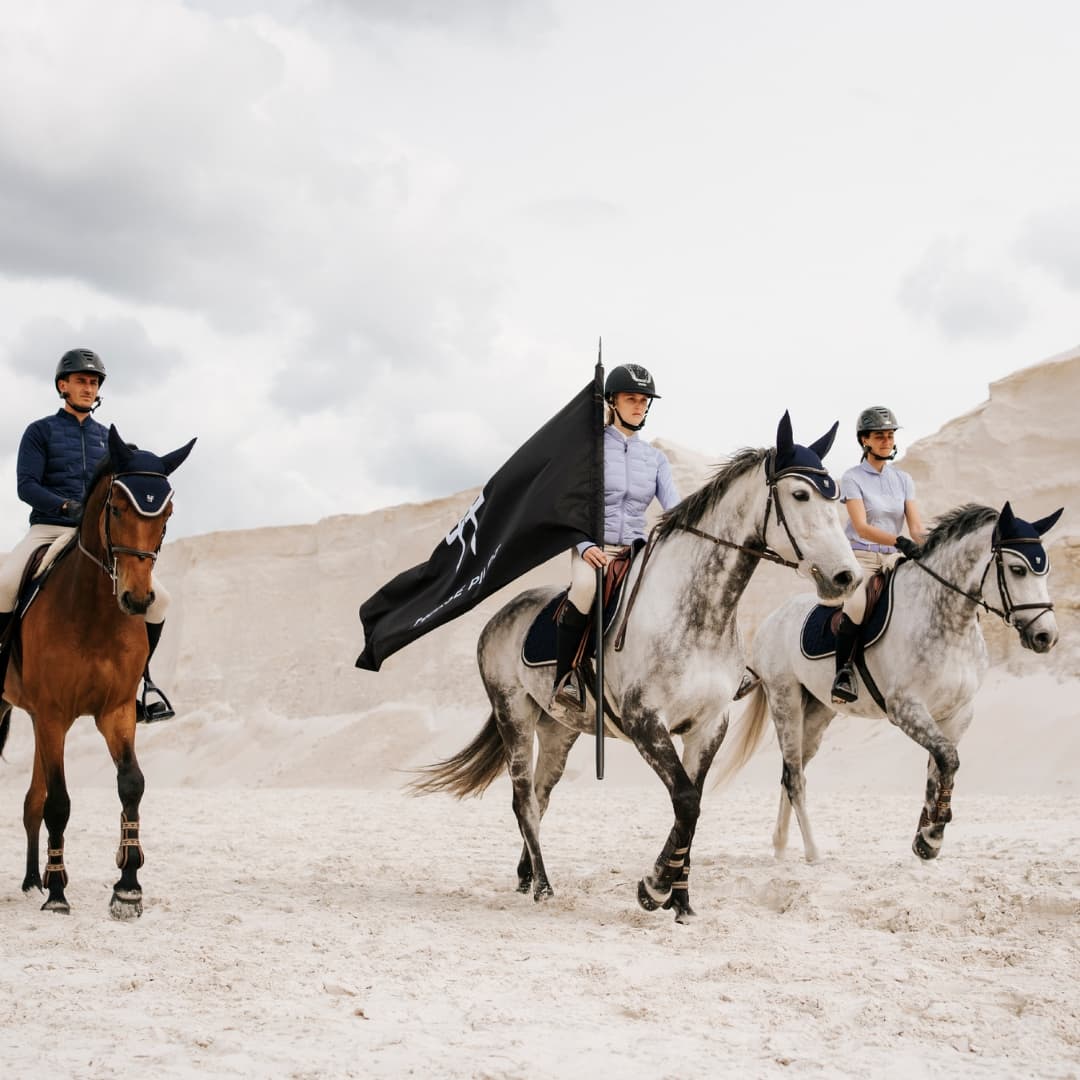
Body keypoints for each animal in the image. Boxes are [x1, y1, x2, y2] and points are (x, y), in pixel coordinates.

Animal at [0, 425, 196, 915]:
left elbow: (131, 785)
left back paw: (31, 880)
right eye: (116, 507)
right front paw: (58, 893)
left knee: (31, 801)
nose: (138, 599)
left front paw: (127, 886)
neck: (92, 612)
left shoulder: (116, 712)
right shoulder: (54, 715)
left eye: (166, 513)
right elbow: (60, 802)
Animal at [412, 412, 859, 920]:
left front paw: (680, 900)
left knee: (541, 797)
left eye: (836, 498)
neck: (697, 613)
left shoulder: (709, 726)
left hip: (559, 729)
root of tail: (500, 616)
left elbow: (692, 804)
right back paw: (544, 885)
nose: (846, 577)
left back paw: (527, 876)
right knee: (523, 800)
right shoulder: (645, 720)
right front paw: (655, 888)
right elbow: (686, 800)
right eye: (801, 495)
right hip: (514, 717)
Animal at [721, 501, 1058, 864]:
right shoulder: (906, 707)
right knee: (794, 776)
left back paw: (781, 846)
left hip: (818, 712)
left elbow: (938, 769)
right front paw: (933, 834)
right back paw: (812, 851)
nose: (1046, 637)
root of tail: (772, 618)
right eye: (1018, 569)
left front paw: (925, 838)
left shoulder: (957, 713)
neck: (948, 621)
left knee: (790, 771)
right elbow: (948, 758)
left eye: (1044, 570)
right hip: (785, 700)